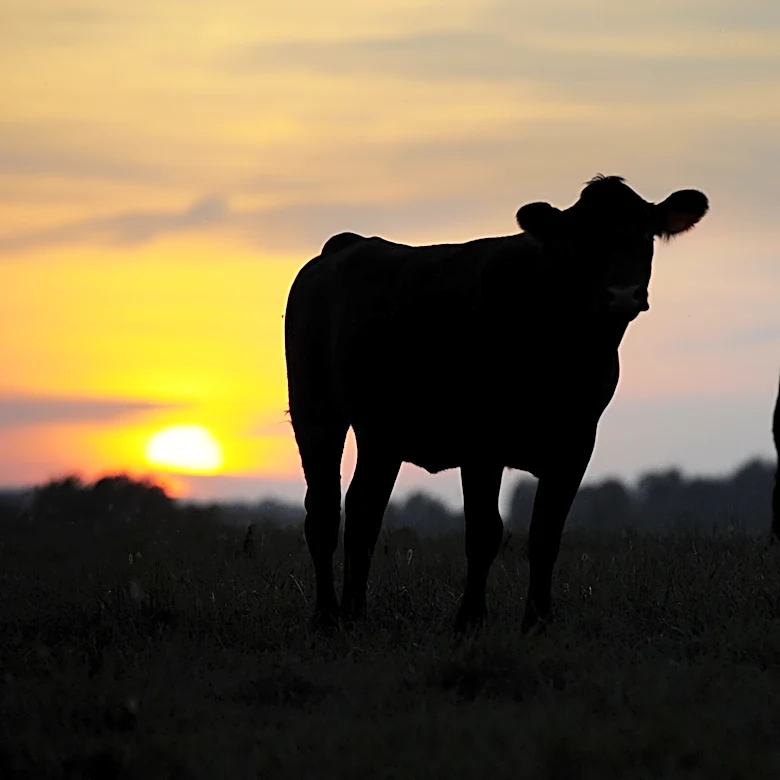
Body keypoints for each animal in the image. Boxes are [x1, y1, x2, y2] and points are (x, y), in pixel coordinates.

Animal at [284, 175, 709, 634]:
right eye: (581, 241)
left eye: (646, 234)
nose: (623, 294)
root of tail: (347, 244)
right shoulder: (481, 443)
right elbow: (484, 532)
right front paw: (470, 620)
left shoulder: (577, 442)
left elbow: (546, 534)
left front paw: (537, 622)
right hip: (317, 413)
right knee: (324, 513)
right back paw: (327, 616)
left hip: (382, 434)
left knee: (364, 510)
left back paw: (355, 614)